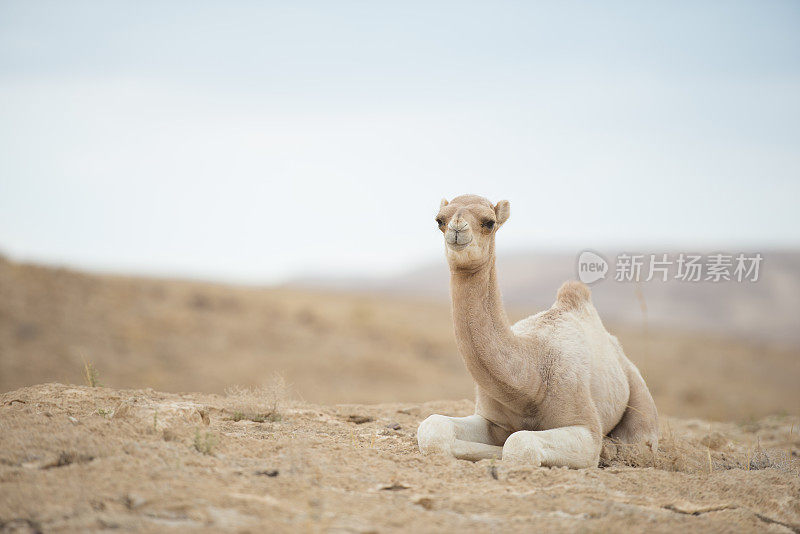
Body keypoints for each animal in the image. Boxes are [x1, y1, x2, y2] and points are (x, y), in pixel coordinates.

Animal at [416, 195, 660, 466]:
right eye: (440, 220)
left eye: (489, 222)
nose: (457, 229)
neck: (531, 377)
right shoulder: (492, 418)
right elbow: (433, 427)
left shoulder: (586, 425)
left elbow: (518, 443)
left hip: (639, 398)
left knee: (638, 445)